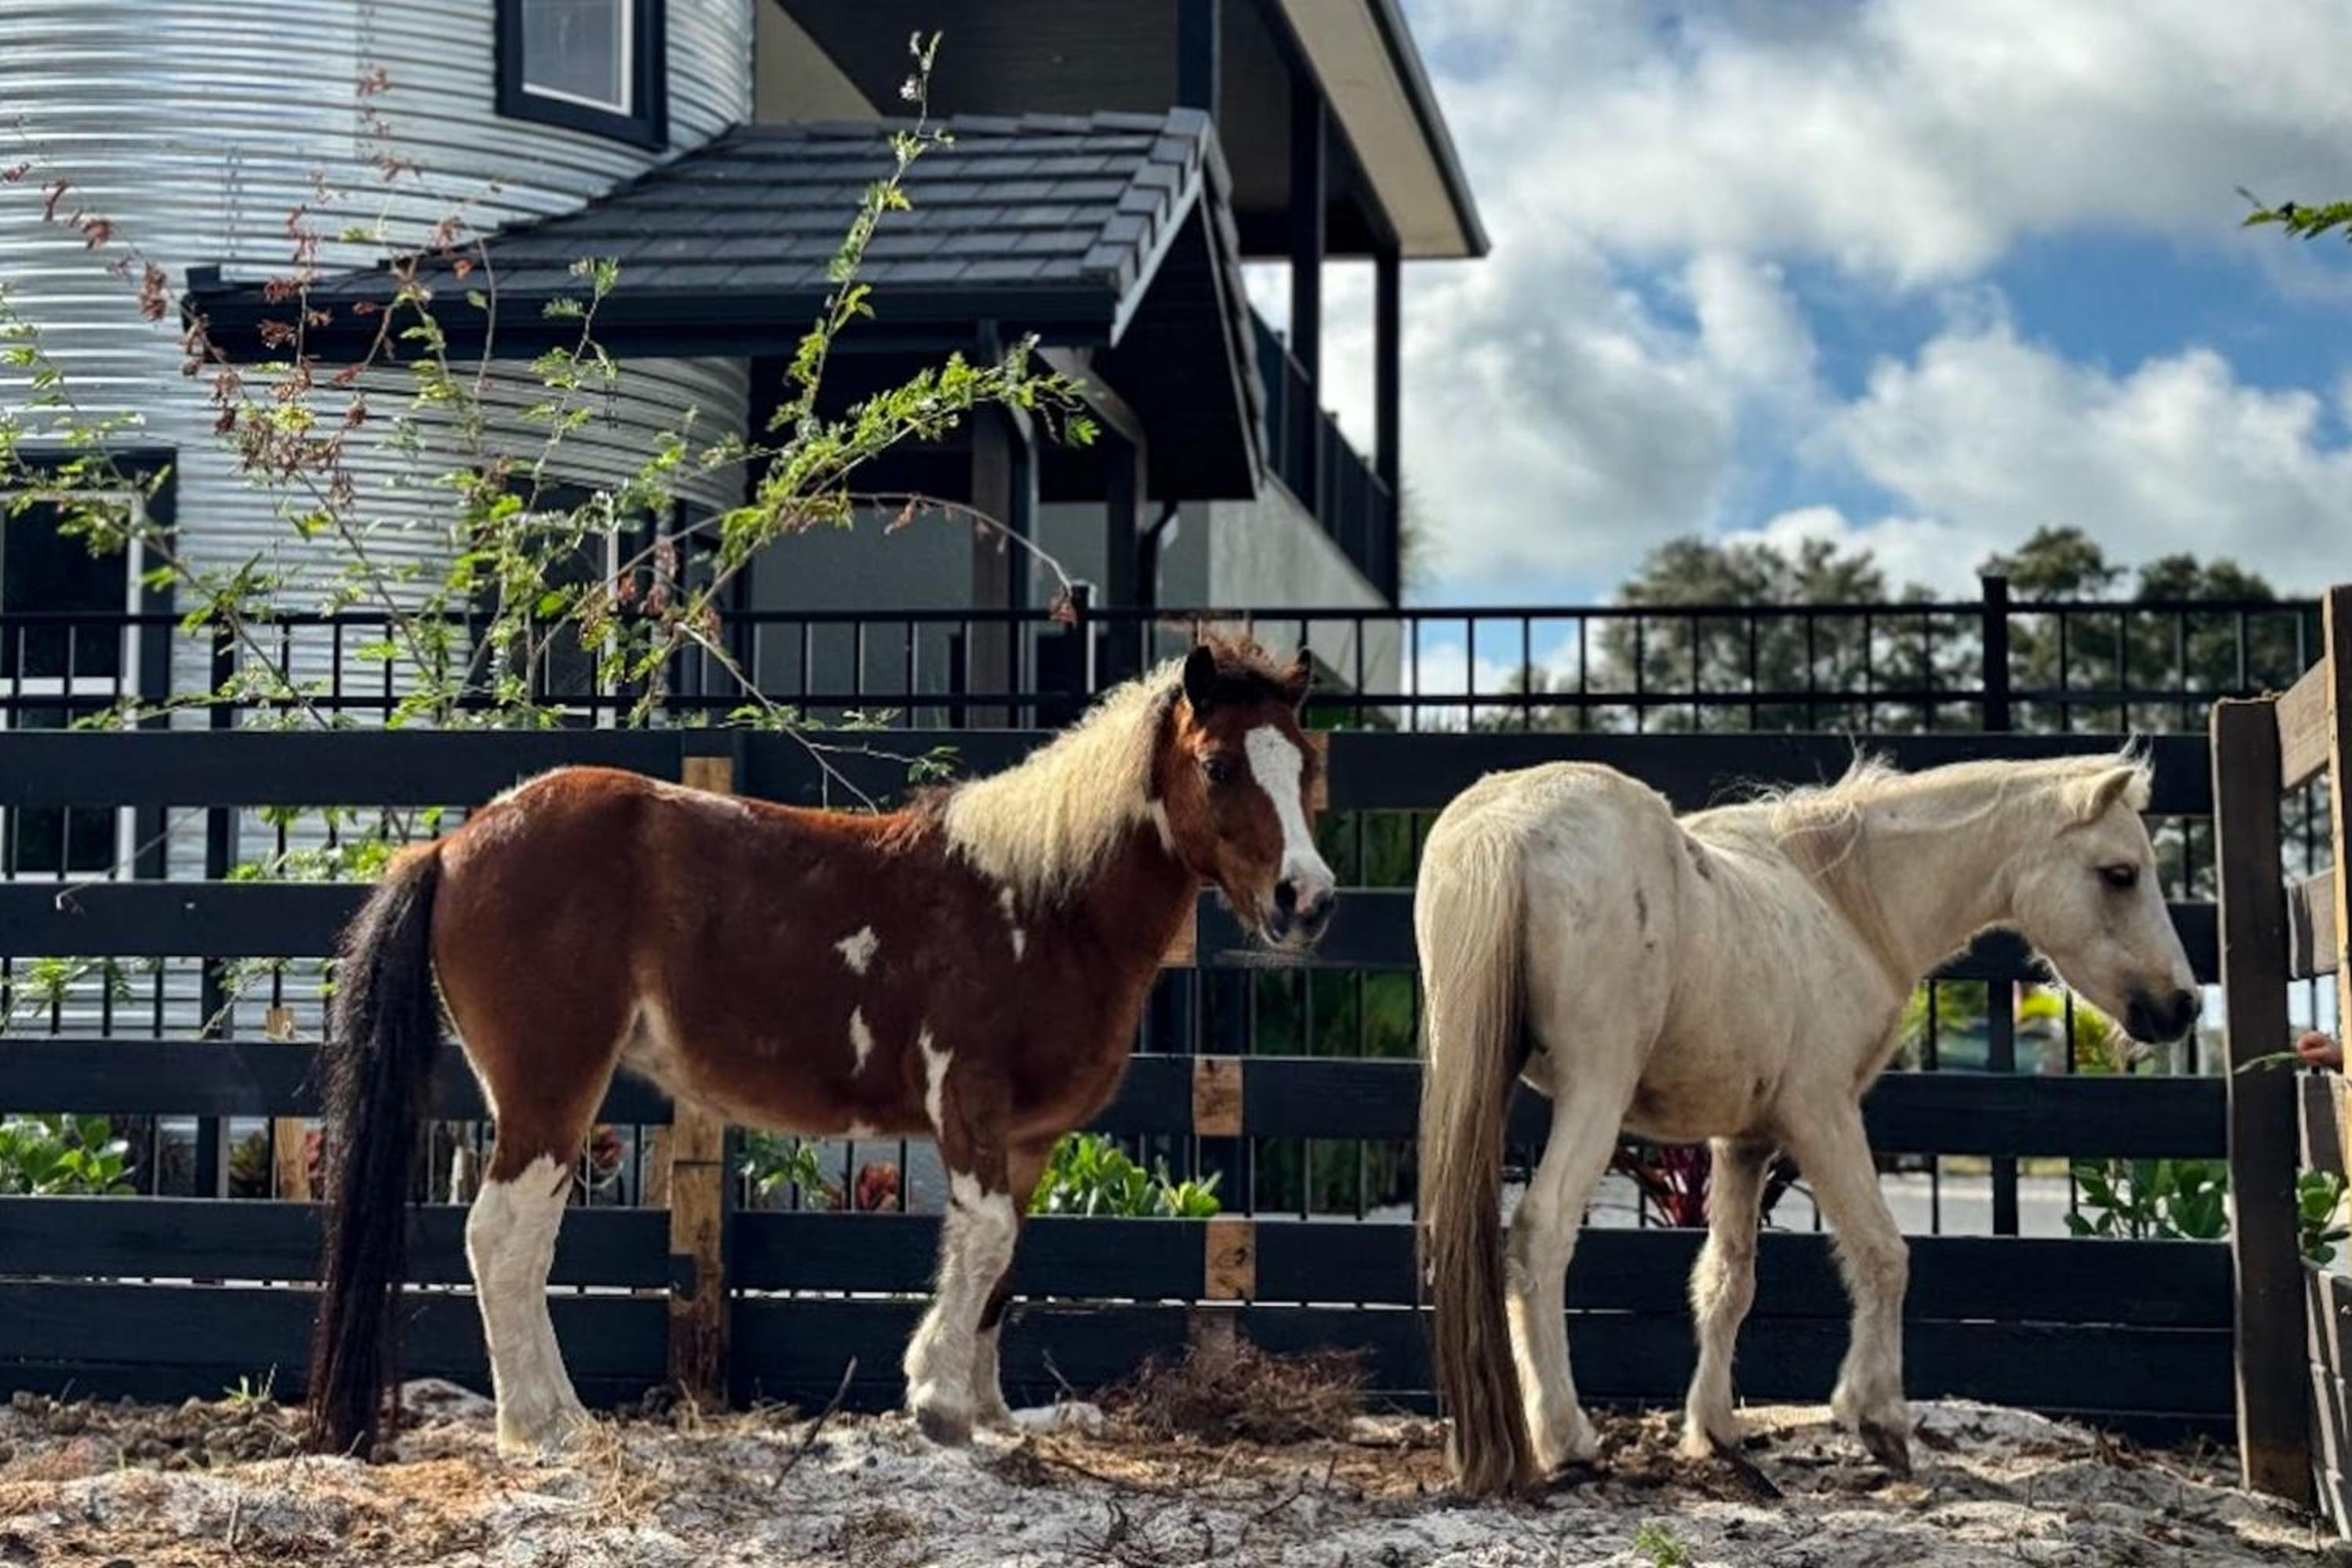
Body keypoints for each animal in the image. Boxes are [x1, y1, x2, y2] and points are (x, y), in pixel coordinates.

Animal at [304, 638, 1335, 1458]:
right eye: (1218, 765)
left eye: (1307, 764)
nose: (1307, 898)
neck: (1039, 901)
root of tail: (454, 843)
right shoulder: (968, 1101)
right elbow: (985, 1240)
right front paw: (938, 1401)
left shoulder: (1028, 1138)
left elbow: (1003, 1268)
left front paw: (993, 1414)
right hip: (549, 1086)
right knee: (503, 1235)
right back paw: (537, 1427)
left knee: (525, 1240)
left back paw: (567, 1416)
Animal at [1415, 748, 2198, 1497]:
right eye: (2120, 874)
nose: (2182, 1006)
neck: (1841, 898)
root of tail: (1508, 827)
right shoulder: (1822, 1112)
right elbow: (1883, 1253)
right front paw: (1878, 1418)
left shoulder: (1744, 1142)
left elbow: (1727, 1280)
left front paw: (1713, 1430)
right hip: (1595, 1092)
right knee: (1541, 1233)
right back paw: (1565, 1438)